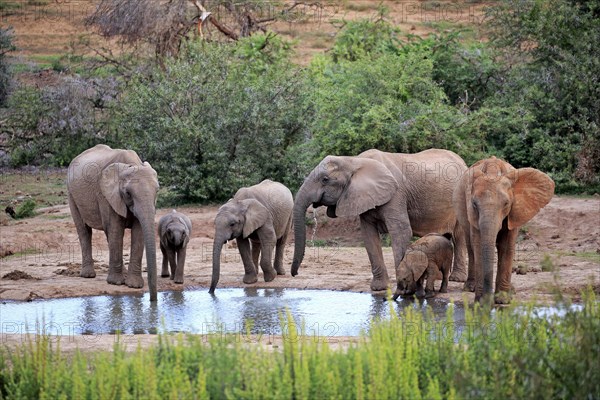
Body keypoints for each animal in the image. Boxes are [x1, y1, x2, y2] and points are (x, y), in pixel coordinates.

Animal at [67, 145, 159, 302]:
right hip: (71, 194)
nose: (153, 300)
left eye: (157, 191)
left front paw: (134, 286)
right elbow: (116, 229)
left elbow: (138, 232)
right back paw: (88, 275)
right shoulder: (106, 196)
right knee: (84, 231)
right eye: (128, 193)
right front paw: (116, 283)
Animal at [290, 148, 468, 290]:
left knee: (459, 236)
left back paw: (456, 278)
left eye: (325, 179)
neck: (353, 160)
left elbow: (401, 231)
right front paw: (379, 288)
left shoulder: (396, 194)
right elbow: (369, 236)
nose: (295, 274)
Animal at [454, 156, 552, 304]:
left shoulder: (514, 212)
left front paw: (502, 300)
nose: (487, 299)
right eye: (474, 204)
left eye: (506, 204)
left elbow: (506, 245)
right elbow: (478, 245)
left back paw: (511, 291)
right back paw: (470, 288)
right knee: (470, 246)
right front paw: (481, 301)